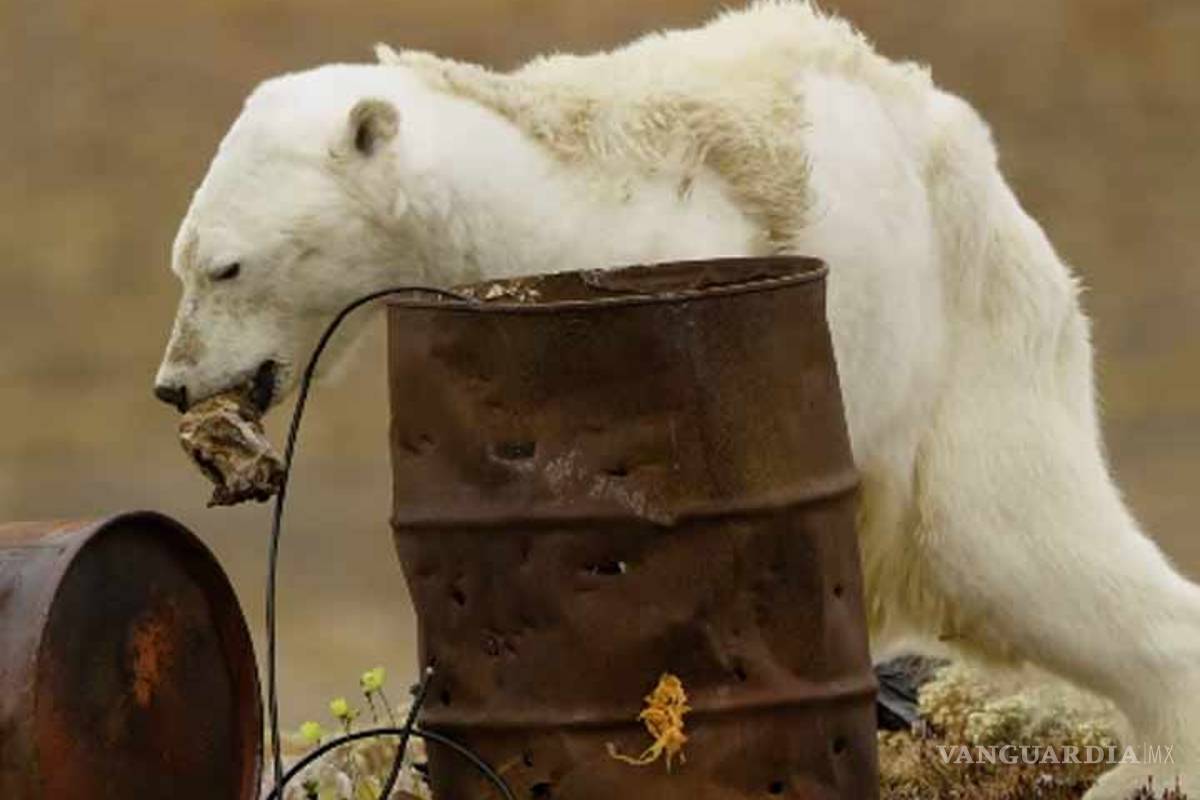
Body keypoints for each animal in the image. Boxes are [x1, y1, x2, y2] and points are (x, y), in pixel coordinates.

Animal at [153, 3, 1200, 796]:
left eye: (227, 266)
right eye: (183, 260)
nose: (172, 384)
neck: (524, 196)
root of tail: (971, 158)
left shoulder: (667, 259)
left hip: (960, 337)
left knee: (1012, 538)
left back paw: (1147, 769)